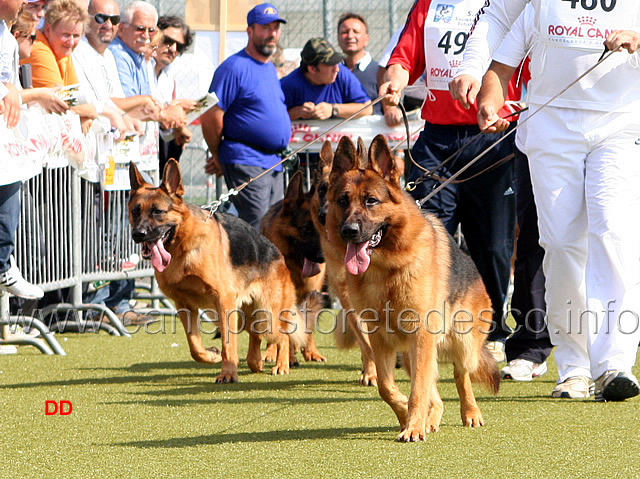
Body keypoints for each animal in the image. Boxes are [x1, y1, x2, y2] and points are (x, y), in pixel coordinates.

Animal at [129, 159, 304, 384]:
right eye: (135, 211)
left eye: (158, 211)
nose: (138, 234)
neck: (181, 249)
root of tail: (277, 253)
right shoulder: (185, 306)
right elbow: (195, 347)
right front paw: (212, 356)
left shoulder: (224, 301)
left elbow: (228, 344)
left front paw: (228, 372)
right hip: (237, 315)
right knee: (255, 334)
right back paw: (255, 362)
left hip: (267, 314)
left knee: (282, 336)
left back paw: (282, 364)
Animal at [262, 171, 328, 362]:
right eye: (306, 229)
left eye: (322, 229)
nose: (322, 258)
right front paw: (284, 356)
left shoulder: (310, 294)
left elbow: (305, 325)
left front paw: (307, 352)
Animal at [324, 136, 500, 442]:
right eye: (343, 200)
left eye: (371, 201)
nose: (349, 230)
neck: (385, 268)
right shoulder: (380, 339)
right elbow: (386, 387)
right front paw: (407, 416)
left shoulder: (421, 335)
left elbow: (418, 389)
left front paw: (413, 427)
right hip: (409, 354)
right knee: (435, 392)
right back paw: (429, 419)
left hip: (463, 345)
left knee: (460, 374)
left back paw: (470, 413)